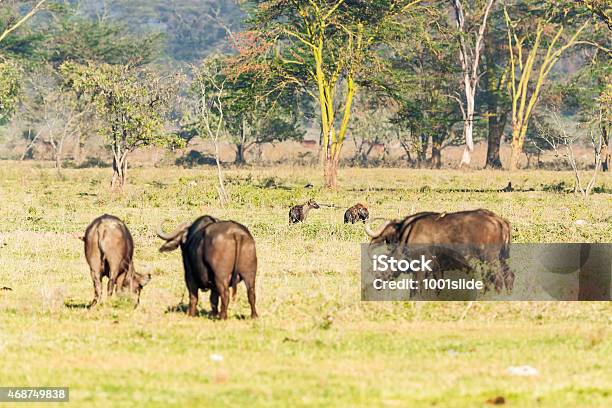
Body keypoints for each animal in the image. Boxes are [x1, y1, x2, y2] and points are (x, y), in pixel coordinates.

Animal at [366, 209, 512, 292]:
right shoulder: (438, 269)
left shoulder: (421, 268)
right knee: (508, 276)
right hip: (501, 259)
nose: (376, 281)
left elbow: (415, 288)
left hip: (490, 259)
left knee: (498, 279)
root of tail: (498, 220)